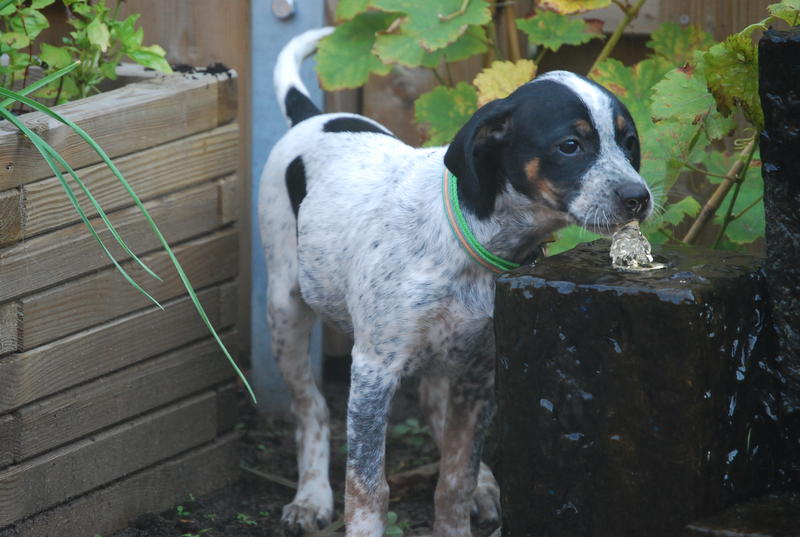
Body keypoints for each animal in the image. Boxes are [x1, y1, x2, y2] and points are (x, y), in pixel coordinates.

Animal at [260, 27, 652, 536]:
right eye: (570, 145)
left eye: (629, 143)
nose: (638, 197)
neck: (473, 245)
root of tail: (313, 115)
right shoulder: (373, 370)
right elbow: (368, 487)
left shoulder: (479, 372)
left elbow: (454, 478)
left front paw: (461, 512)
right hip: (285, 309)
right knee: (310, 407)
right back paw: (310, 497)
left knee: (433, 407)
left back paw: (485, 484)